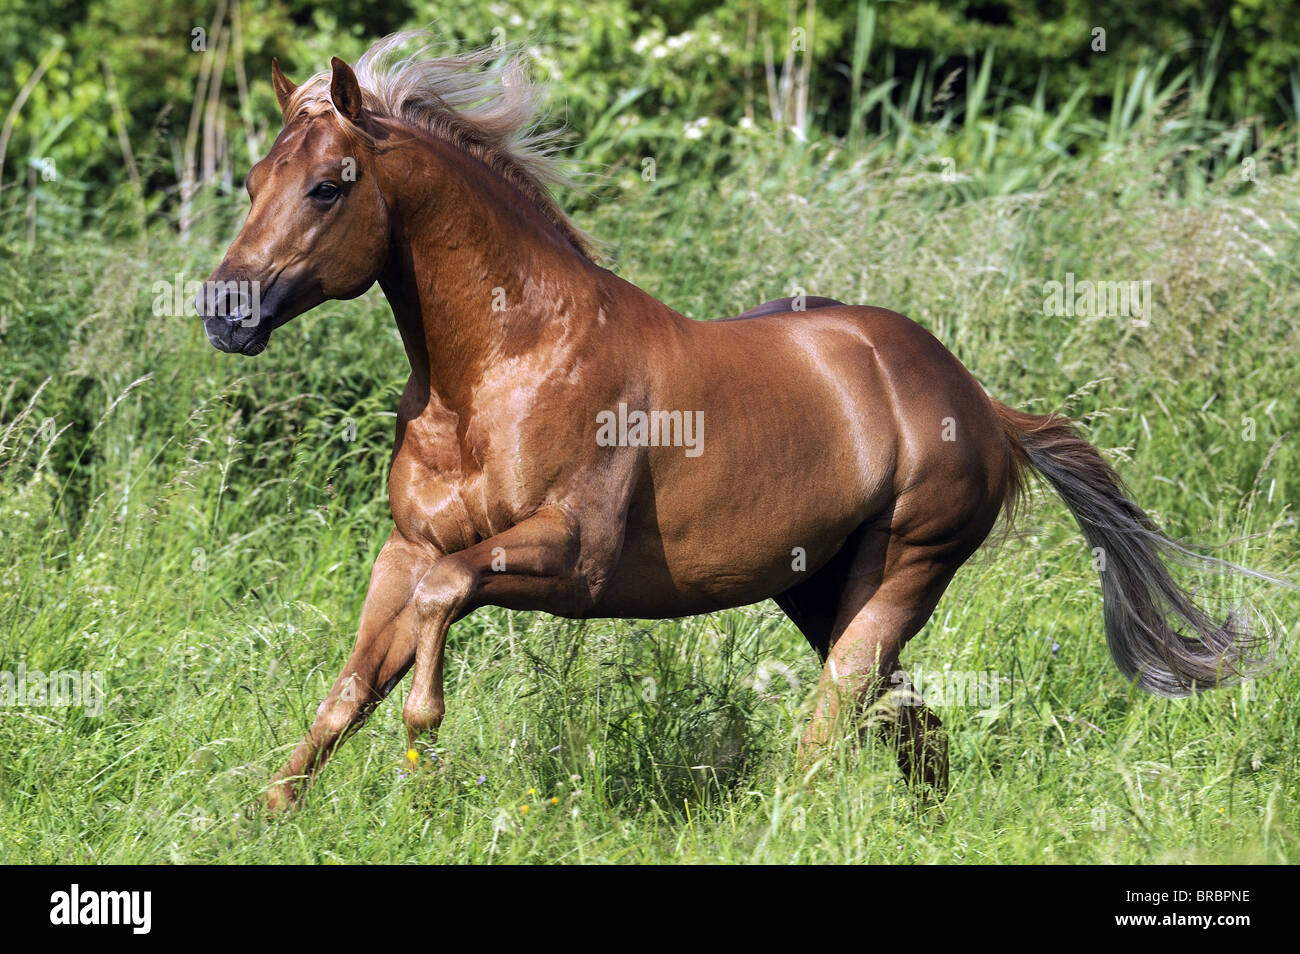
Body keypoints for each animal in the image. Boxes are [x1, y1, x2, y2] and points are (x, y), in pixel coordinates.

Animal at [197, 34, 1273, 813]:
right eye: (251, 181)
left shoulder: (570, 558)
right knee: (914, 728)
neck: (500, 368)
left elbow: (442, 605)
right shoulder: (405, 548)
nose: (223, 312)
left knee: (834, 723)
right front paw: (268, 818)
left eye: (328, 185)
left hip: (899, 573)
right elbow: (348, 689)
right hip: (817, 588)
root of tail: (978, 403)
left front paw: (423, 744)